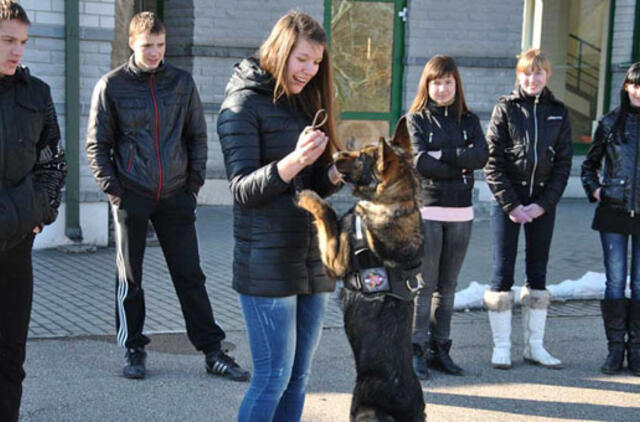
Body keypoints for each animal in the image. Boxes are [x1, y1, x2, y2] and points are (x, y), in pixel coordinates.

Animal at [298, 117, 428, 420]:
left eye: (361, 157)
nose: (334, 154)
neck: (394, 203)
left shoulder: (335, 259)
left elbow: (325, 212)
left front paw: (308, 196)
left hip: (362, 407)